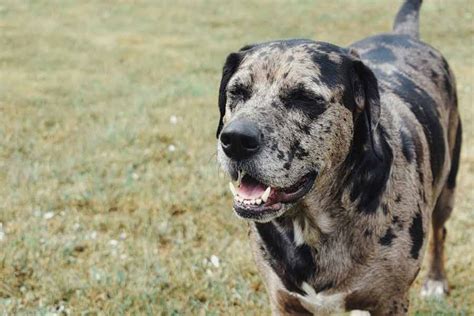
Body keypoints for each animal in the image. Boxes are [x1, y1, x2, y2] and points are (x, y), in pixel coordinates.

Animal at [215, 1, 462, 314]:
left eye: (305, 97)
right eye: (236, 92)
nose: (236, 140)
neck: (312, 224)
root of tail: (404, 34)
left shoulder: (390, 302)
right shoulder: (283, 302)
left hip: (447, 190)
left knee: (441, 232)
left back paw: (436, 279)